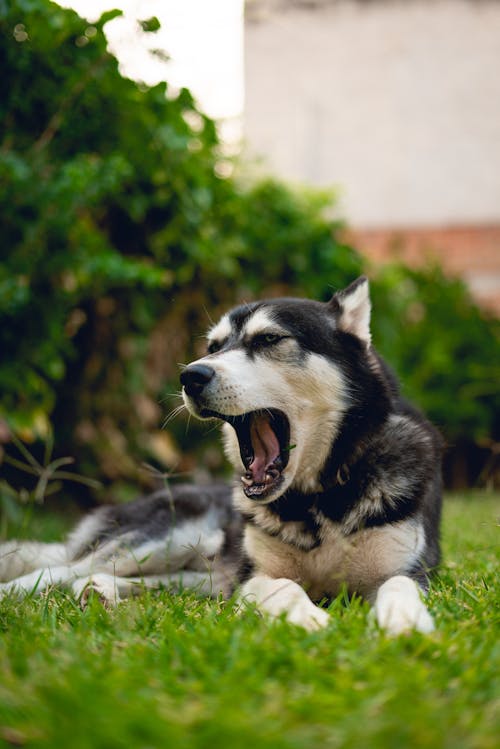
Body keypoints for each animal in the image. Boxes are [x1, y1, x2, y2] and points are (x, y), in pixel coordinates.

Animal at [1, 278, 444, 636]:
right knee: (60, 568)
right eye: (213, 347)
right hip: (167, 538)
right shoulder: (251, 577)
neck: (317, 498)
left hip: (200, 565)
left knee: (155, 580)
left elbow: (400, 584)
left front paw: (403, 619)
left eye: (268, 340)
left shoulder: (409, 569)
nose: (190, 375)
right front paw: (308, 618)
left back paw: (101, 591)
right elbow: (283, 586)